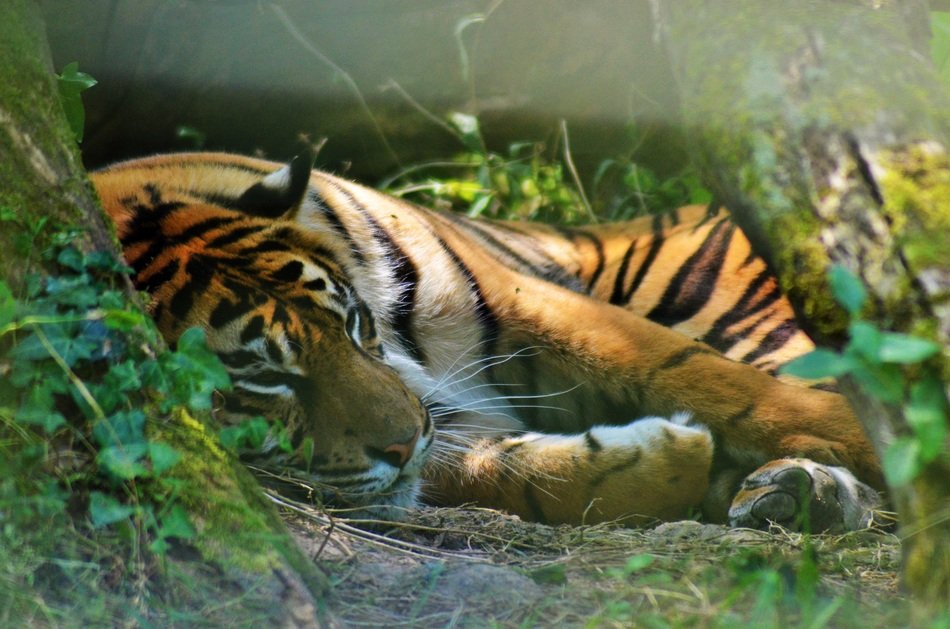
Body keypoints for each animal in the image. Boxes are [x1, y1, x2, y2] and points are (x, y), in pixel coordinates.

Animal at [91, 151, 885, 532]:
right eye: (263, 380)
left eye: (353, 324)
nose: (405, 438)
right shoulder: (436, 430)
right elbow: (509, 472)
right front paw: (664, 462)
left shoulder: (518, 298)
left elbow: (696, 374)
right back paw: (794, 493)